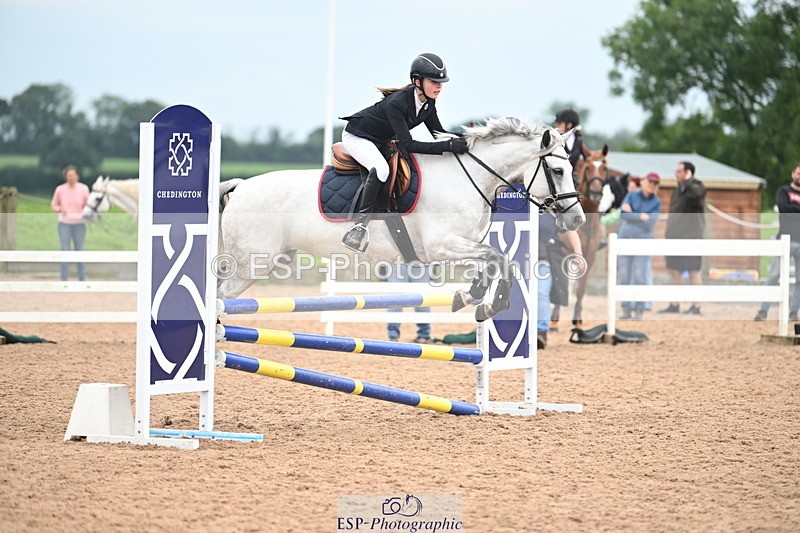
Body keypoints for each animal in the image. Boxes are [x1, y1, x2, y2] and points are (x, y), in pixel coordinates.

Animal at [218, 118, 587, 321]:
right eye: (558, 170)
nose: (577, 221)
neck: (467, 178)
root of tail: (241, 186)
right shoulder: (441, 246)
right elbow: (500, 260)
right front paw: (488, 305)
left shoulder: (464, 245)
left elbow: (495, 262)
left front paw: (470, 298)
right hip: (251, 264)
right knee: (219, 297)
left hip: (274, 259)